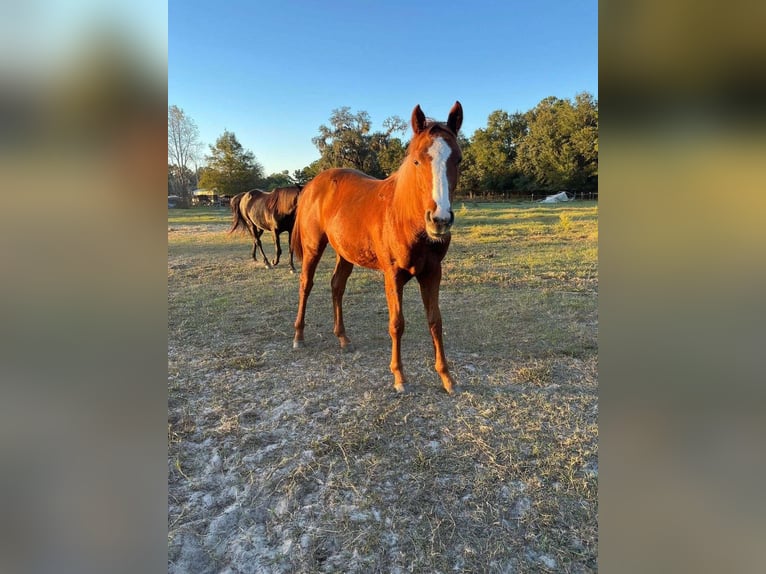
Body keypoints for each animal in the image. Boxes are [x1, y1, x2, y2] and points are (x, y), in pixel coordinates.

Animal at [291, 102, 463, 394]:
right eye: (417, 160)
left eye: (458, 160)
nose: (439, 220)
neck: (404, 217)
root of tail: (312, 185)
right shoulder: (392, 275)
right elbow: (397, 324)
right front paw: (399, 377)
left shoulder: (432, 273)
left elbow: (435, 321)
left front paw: (446, 377)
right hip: (314, 247)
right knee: (306, 284)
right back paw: (299, 336)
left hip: (345, 253)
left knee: (337, 286)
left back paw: (343, 338)